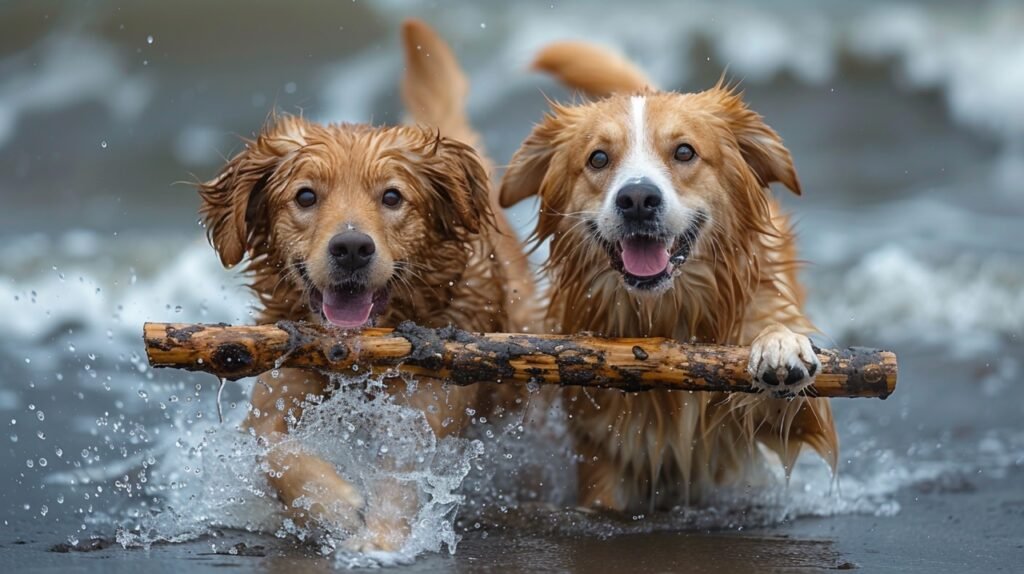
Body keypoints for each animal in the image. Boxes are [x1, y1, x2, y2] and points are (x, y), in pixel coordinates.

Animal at [197, 21, 536, 552]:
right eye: (306, 196)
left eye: (392, 197)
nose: (352, 247)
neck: (358, 357)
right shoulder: (279, 389)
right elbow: (274, 451)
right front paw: (334, 506)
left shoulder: (427, 402)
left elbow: (402, 476)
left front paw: (380, 541)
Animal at [499, 44, 835, 509]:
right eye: (598, 158)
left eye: (684, 152)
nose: (638, 198)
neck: (665, 317)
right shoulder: (604, 453)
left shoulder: (794, 422)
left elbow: (792, 395)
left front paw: (779, 345)